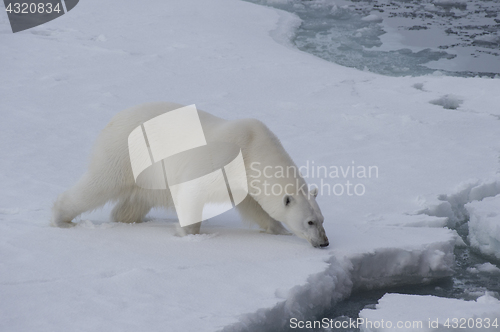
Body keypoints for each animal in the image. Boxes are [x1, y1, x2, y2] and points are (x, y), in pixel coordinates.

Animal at [52, 102, 330, 248]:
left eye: (321, 219)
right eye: (310, 222)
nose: (324, 242)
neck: (253, 148)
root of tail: (114, 119)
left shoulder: (245, 180)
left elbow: (256, 207)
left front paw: (279, 230)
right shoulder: (222, 161)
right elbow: (192, 192)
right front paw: (190, 235)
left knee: (136, 200)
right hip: (125, 153)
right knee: (99, 184)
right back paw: (61, 218)